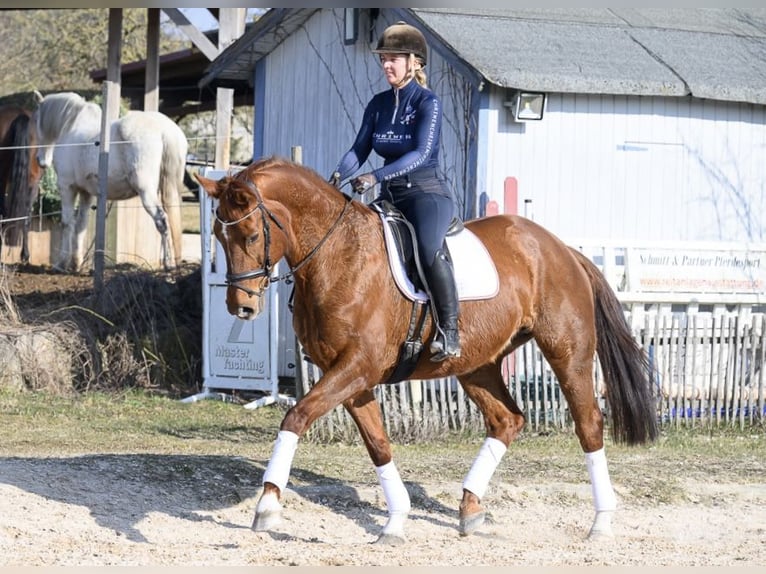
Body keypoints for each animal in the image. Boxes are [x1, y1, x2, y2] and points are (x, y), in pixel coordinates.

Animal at [32, 93, 189, 274]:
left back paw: (168, 263)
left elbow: (67, 223)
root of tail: (164, 130)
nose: (41, 161)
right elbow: (80, 226)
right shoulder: (86, 193)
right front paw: (76, 264)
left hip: (146, 192)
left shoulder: (67, 188)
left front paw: (61, 264)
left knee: (162, 221)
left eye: (37, 122)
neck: (71, 128)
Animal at [198, 156, 660, 544]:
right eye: (218, 236)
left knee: (589, 424)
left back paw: (601, 523)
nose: (241, 307)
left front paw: (267, 505)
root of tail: (563, 249)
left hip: (568, 353)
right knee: (507, 420)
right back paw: (471, 508)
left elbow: (295, 416)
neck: (336, 253)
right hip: (476, 364)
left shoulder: (357, 367)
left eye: (251, 235)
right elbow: (378, 444)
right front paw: (395, 521)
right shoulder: (351, 376)